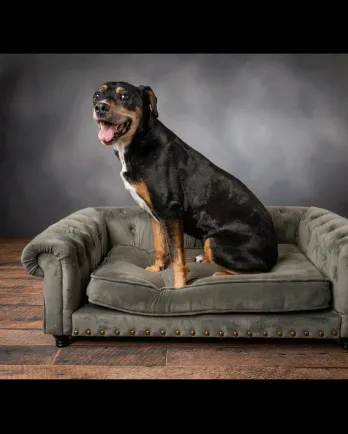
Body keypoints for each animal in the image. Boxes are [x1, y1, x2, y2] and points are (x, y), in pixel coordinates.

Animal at [92, 82, 278, 288]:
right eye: (97, 95)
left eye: (124, 96)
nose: (100, 107)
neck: (139, 140)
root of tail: (275, 254)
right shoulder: (154, 213)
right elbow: (159, 246)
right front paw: (156, 268)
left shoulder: (170, 211)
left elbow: (177, 258)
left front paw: (178, 287)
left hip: (214, 242)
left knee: (259, 271)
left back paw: (219, 274)